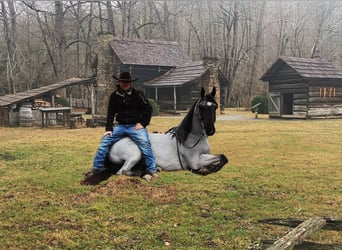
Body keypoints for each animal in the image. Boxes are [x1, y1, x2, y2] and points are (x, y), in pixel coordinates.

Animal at [81, 87, 228, 185]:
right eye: (202, 107)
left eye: (214, 106)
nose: (210, 130)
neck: (191, 139)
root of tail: (113, 144)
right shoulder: (195, 161)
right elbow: (220, 159)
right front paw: (205, 170)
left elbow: (223, 158)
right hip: (135, 154)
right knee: (122, 172)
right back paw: (147, 175)